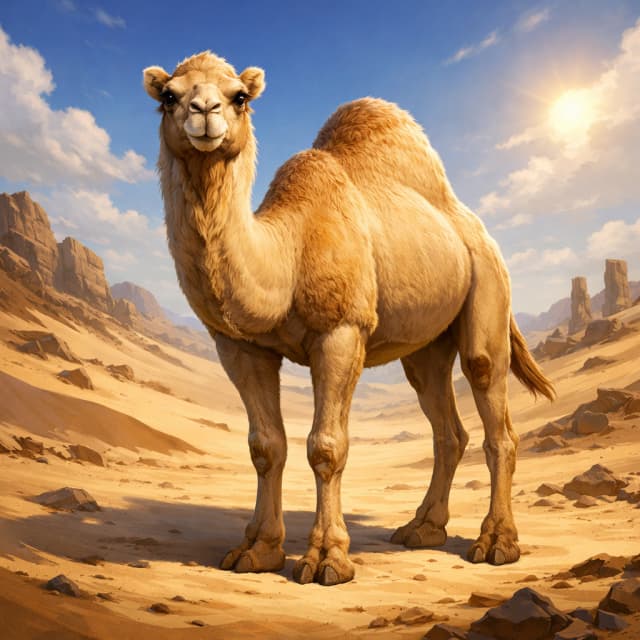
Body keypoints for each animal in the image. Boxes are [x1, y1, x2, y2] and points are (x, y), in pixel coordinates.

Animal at [143, 51, 555, 587]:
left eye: (240, 97)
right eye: (168, 97)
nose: (205, 111)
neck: (288, 252)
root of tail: (477, 230)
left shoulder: (340, 332)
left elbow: (326, 446)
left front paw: (326, 560)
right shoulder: (239, 346)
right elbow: (265, 446)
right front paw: (256, 550)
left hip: (488, 288)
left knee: (493, 404)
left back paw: (497, 544)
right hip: (426, 345)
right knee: (445, 425)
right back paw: (422, 529)